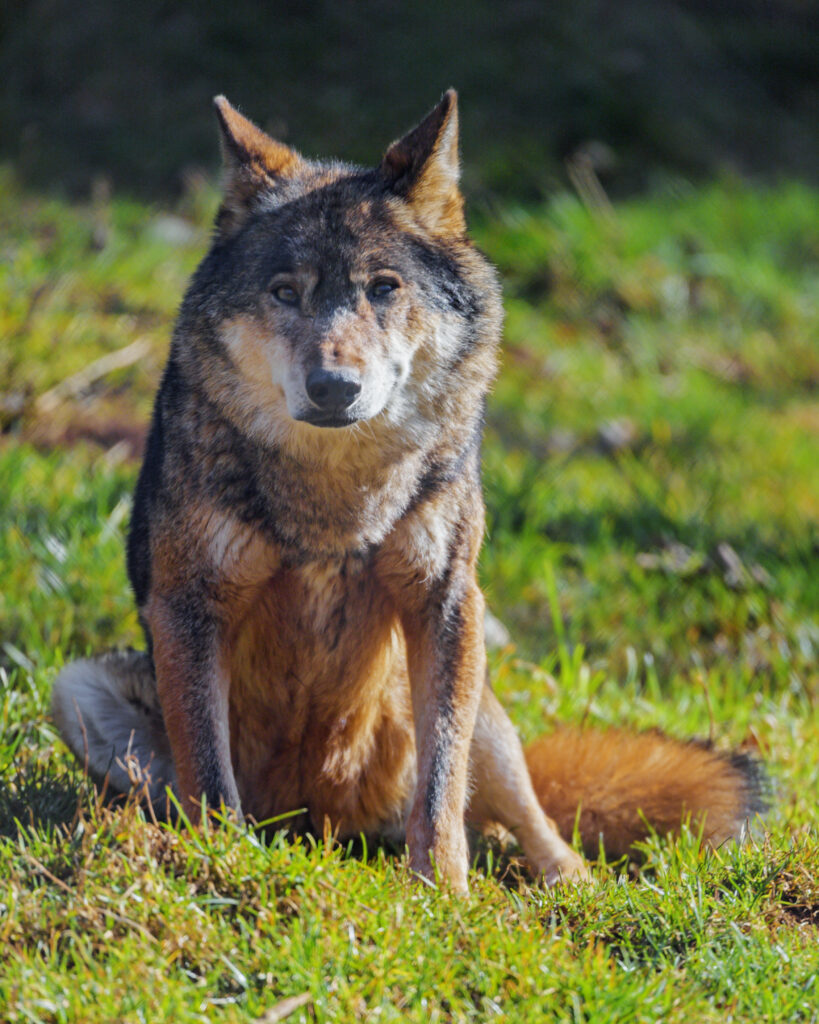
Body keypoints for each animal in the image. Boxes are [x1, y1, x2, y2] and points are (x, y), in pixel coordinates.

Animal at [52, 91, 765, 891]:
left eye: (383, 288)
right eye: (285, 292)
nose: (333, 386)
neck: (336, 495)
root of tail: (322, 827)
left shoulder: (446, 600)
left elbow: (441, 785)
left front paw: (444, 893)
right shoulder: (187, 607)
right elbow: (209, 776)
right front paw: (225, 864)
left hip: (484, 706)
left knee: (527, 818)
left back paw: (568, 882)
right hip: (75, 690)